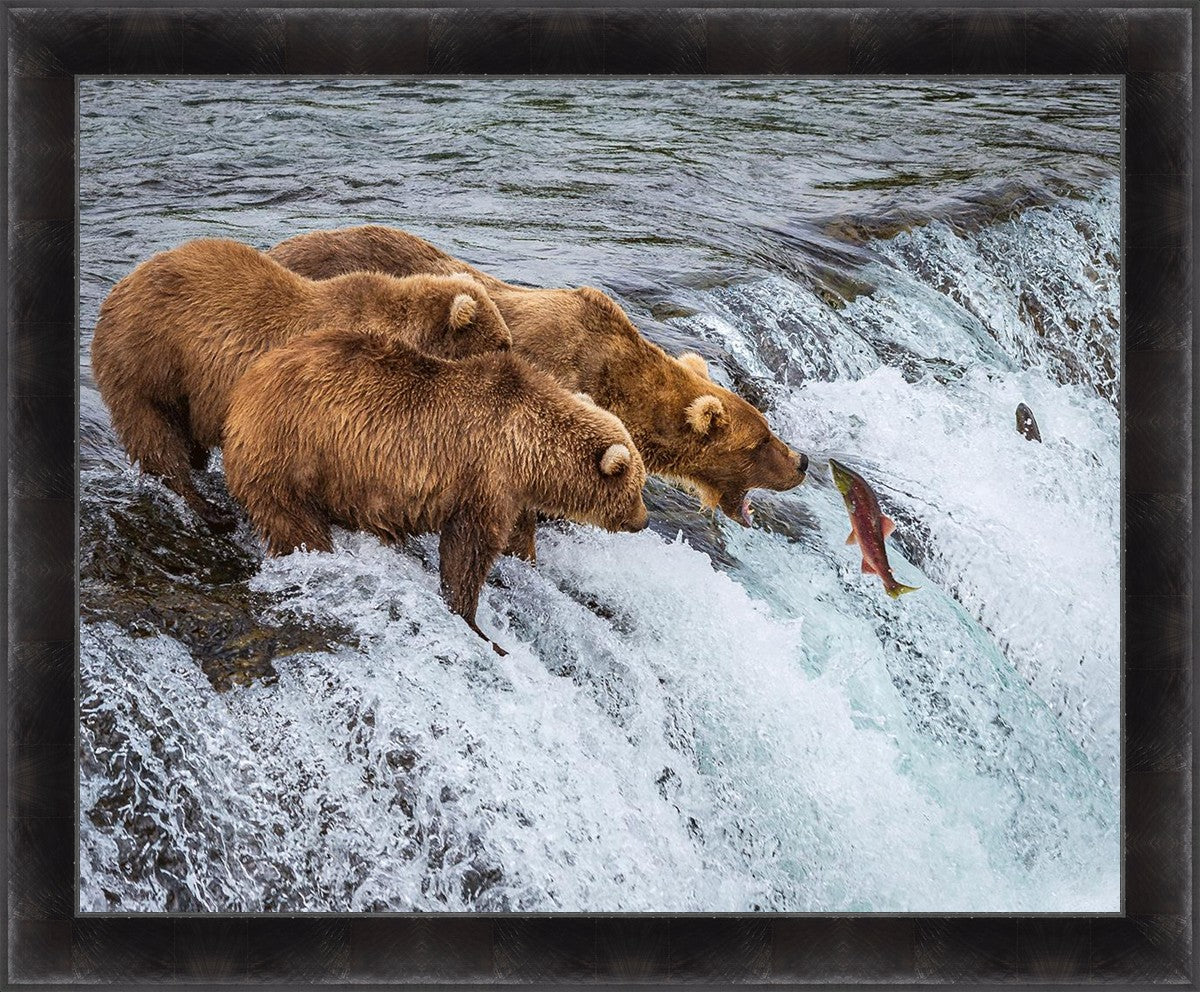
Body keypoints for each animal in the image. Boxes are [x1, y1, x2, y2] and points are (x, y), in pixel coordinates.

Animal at [91, 237, 512, 531]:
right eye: (502, 343)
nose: (513, 358)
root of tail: (120, 286)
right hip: (149, 360)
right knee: (155, 435)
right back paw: (208, 509)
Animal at [222, 327, 649, 654]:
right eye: (637, 487)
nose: (643, 521)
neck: (528, 450)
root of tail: (246, 385)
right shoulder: (484, 476)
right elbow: (468, 551)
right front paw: (476, 624)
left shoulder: (511, 492)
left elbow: (516, 537)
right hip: (293, 452)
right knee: (294, 522)